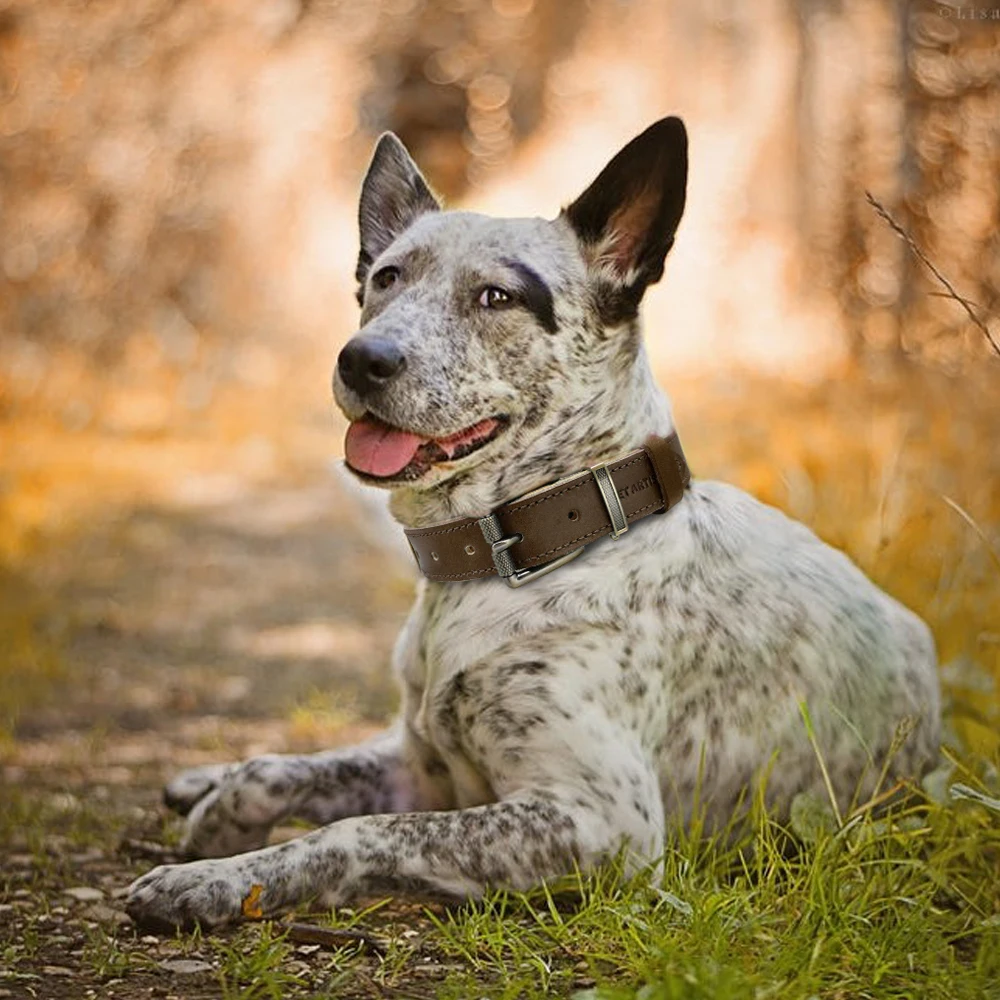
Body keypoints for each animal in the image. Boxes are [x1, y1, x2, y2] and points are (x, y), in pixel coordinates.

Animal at [123, 117, 936, 928]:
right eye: (387, 277)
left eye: (497, 296)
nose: (361, 359)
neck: (535, 541)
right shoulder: (422, 765)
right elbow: (266, 770)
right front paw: (216, 822)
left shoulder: (599, 821)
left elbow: (357, 832)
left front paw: (213, 881)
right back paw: (196, 779)